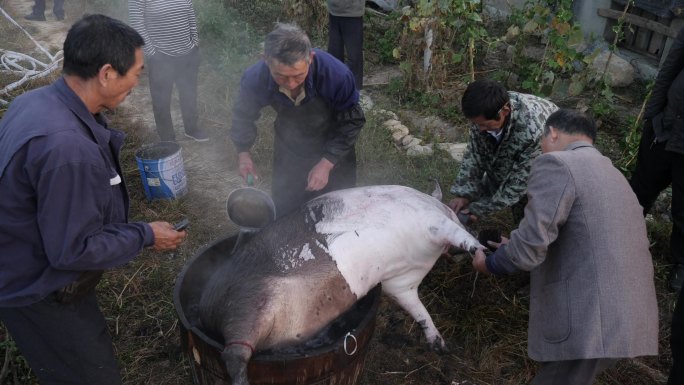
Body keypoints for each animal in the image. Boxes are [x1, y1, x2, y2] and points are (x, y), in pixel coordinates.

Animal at [200, 184, 484, 382]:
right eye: (455, 212)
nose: (469, 218)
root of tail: (210, 314)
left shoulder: (401, 282)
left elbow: (418, 309)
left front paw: (441, 347)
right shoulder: (432, 221)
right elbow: (456, 234)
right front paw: (480, 250)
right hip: (248, 302)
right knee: (234, 352)